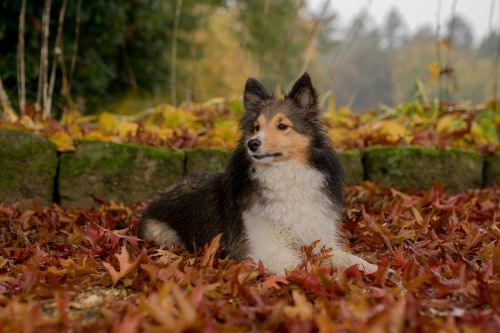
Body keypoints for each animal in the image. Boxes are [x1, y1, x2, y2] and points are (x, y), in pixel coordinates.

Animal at [139, 72, 376, 272]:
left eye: (282, 126)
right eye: (256, 127)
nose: (252, 144)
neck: (285, 176)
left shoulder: (320, 240)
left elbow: (346, 258)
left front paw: (372, 268)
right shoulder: (268, 250)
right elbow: (302, 266)